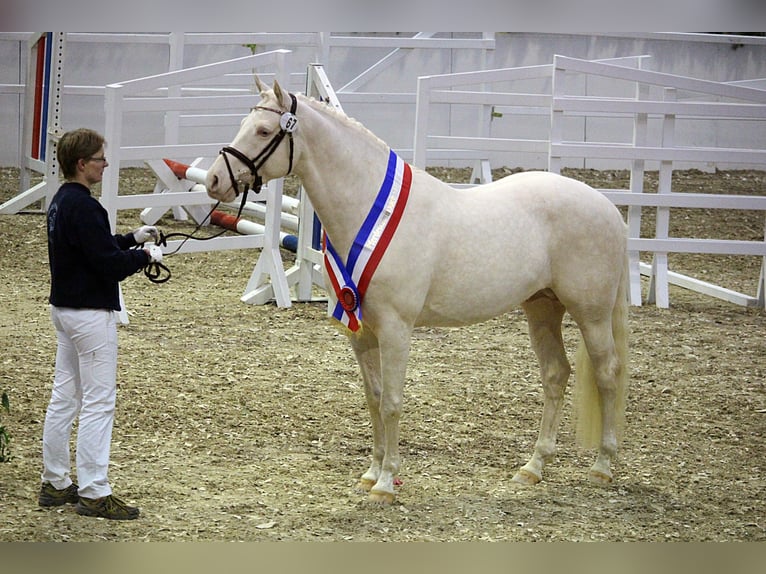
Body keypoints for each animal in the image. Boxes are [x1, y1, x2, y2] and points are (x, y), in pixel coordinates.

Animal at [205, 78, 629, 505]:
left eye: (263, 131)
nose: (214, 181)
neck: (372, 212)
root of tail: (610, 210)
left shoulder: (396, 329)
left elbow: (392, 403)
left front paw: (387, 483)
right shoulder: (361, 332)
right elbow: (374, 399)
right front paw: (371, 473)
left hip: (590, 313)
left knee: (607, 374)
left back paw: (602, 467)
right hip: (542, 308)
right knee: (556, 374)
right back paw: (533, 467)